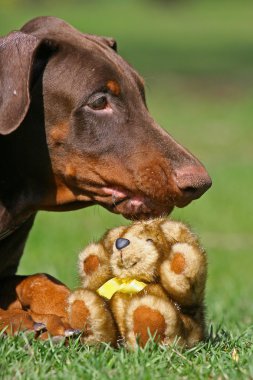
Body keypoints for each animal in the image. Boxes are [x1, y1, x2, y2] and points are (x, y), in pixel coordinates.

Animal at [0, 17, 211, 338]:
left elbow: (38, 277)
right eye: (99, 101)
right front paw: (17, 319)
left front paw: (71, 307)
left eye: (142, 96)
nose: (200, 183)